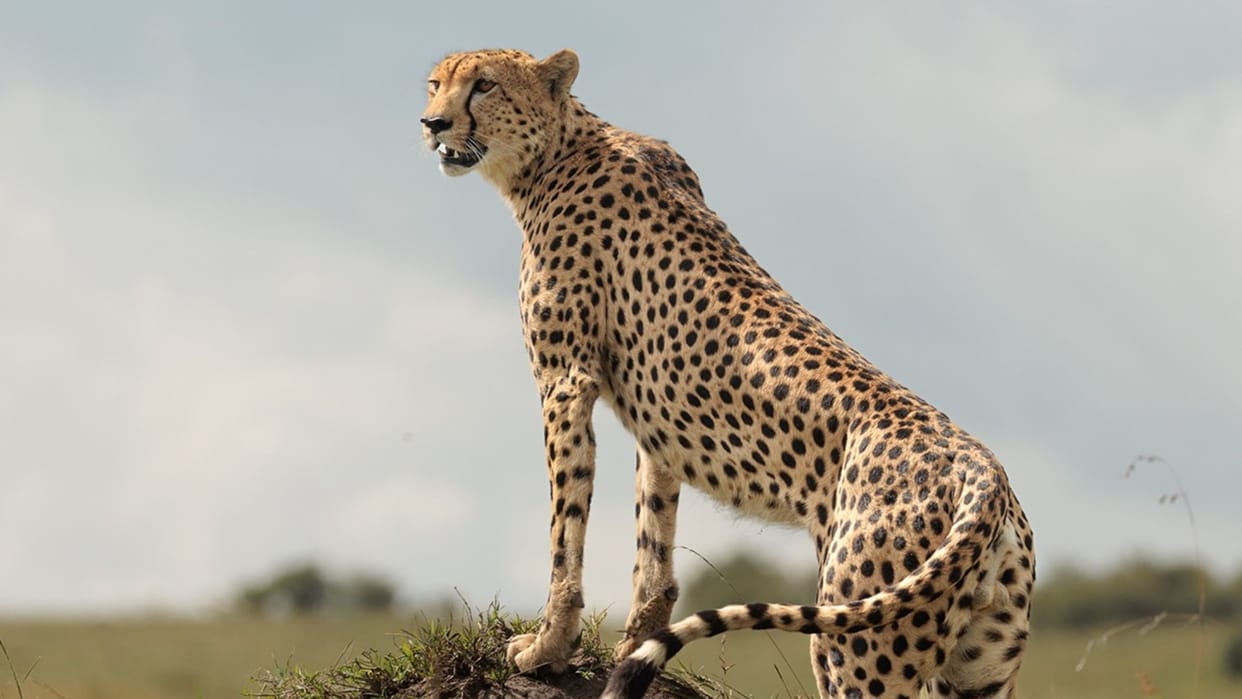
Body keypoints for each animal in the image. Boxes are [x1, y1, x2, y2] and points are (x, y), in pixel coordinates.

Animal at [420, 48, 1035, 699]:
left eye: (484, 86)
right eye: (435, 84)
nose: (432, 123)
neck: (557, 151)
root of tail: (985, 470)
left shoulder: (565, 382)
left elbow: (566, 530)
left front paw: (546, 649)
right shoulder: (656, 420)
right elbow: (653, 541)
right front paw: (631, 649)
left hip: (855, 646)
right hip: (976, 667)